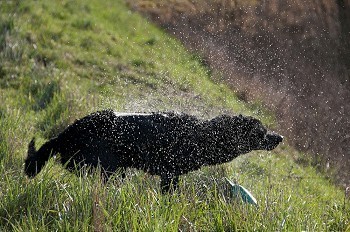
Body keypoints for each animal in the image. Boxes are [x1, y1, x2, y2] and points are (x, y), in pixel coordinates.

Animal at [24, 110, 284, 192]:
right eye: (262, 132)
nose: (280, 137)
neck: (202, 136)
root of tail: (66, 133)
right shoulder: (169, 174)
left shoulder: (172, 175)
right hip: (105, 164)